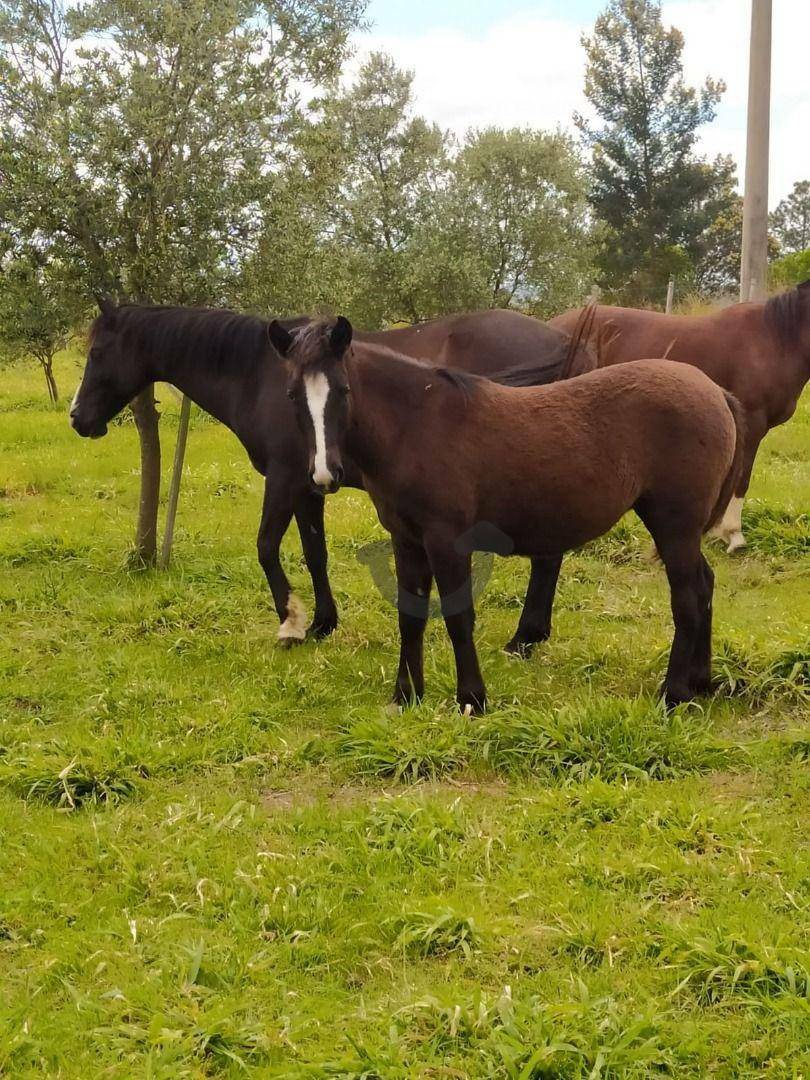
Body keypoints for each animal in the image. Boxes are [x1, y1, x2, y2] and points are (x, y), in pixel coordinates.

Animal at [270, 315, 747, 712]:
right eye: (292, 394)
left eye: (343, 391)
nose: (324, 474)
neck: (417, 425)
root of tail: (717, 393)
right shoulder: (406, 540)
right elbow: (411, 616)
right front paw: (405, 697)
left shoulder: (446, 541)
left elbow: (458, 617)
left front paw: (472, 699)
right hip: (680, 531)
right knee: (705, 585)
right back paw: (701, 682)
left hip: (674, 525)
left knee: (688, 597)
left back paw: (674, 693)